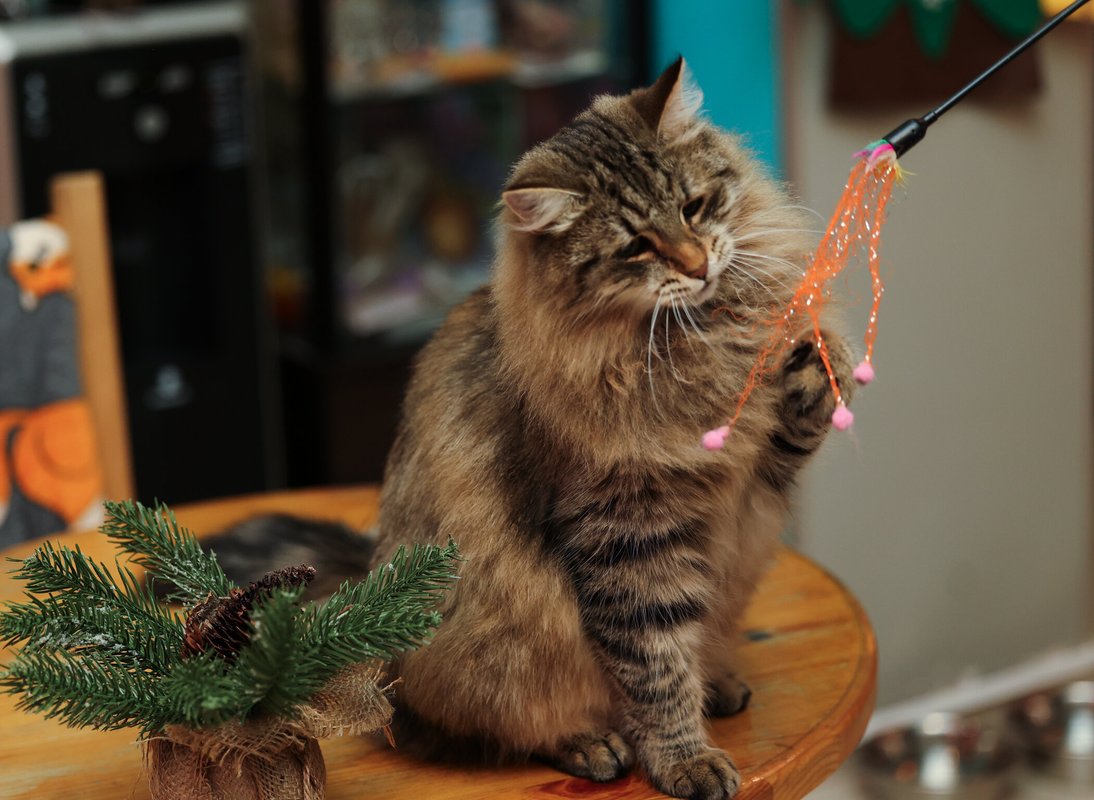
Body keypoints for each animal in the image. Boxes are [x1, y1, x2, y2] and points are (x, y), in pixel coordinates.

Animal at [208, 58, 854, 800]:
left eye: (695, 207)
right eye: (637, 246)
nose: (697, 265)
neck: (699, 336)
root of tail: (371, 580)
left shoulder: (758, 475)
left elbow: (803, 400)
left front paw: (820, 362)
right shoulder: (625, 533)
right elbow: (655, 664)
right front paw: (684, 759)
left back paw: (716, 682)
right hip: (499, 646)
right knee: (505, 725)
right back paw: (592, 743)